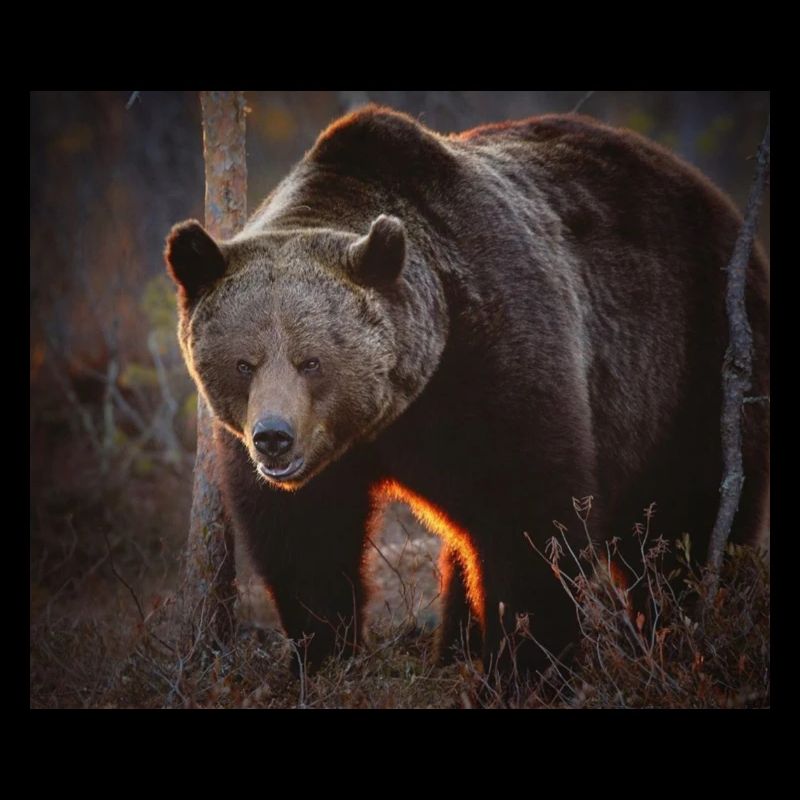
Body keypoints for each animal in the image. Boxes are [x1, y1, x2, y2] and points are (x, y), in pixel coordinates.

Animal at [165, 105, 769, 676]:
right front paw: (320, 655)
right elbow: (306, 542)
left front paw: (528, 665)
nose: (274, 438)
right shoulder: (294, 455)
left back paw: (684, 631)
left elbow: (530, 518)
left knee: (684, 520)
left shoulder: (496, 357)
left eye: (311, 361)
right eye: (244, 363)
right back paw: (452, 649)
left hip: (693, 361)